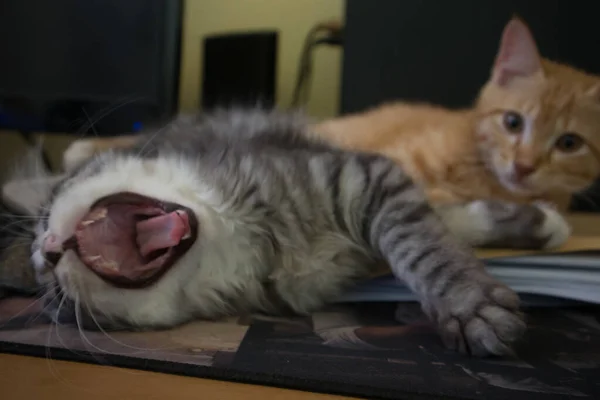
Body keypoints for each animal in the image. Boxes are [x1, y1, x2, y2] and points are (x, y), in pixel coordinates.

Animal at [25, 108, 568, 356]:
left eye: (49, 208)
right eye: (54, 299)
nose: (44, 253)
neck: (236, 230)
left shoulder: (358, 175)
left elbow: (423, 245)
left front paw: (467, 302)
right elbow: (441, 225)